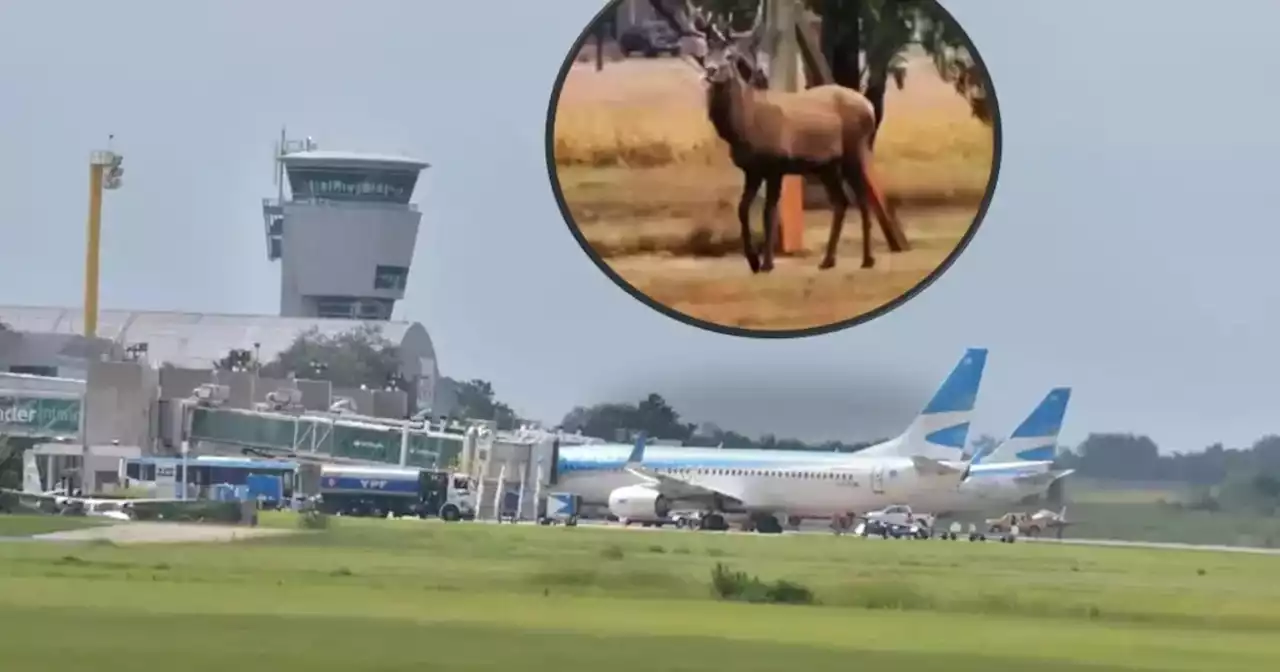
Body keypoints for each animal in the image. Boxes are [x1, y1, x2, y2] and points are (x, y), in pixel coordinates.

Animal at [650, 0, 901, 275]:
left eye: (730, 56)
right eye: (706, 54)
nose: (710, 70)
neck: (743, 130)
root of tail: (869, 107)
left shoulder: (775, 164)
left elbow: (769, 212)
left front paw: (767, 262)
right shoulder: (751, 169)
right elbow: (743, 208)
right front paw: (752, 259)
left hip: (854, 151)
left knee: (863, 199)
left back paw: (867, 259)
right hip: (826, 165)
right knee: (842, 201)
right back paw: (828, 260)